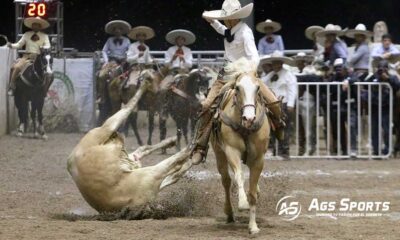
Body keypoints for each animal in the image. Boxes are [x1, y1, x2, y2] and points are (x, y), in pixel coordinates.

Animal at [211, 59, 270, 235]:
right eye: (237, 88)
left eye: (258, 87)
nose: (249, 118)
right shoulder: (232, 151)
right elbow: (238, 176)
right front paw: (242, 203)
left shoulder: (258, 159)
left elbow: (253, 193)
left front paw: (253, 226)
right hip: (219, 153)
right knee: (226, 180)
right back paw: (229, 213)